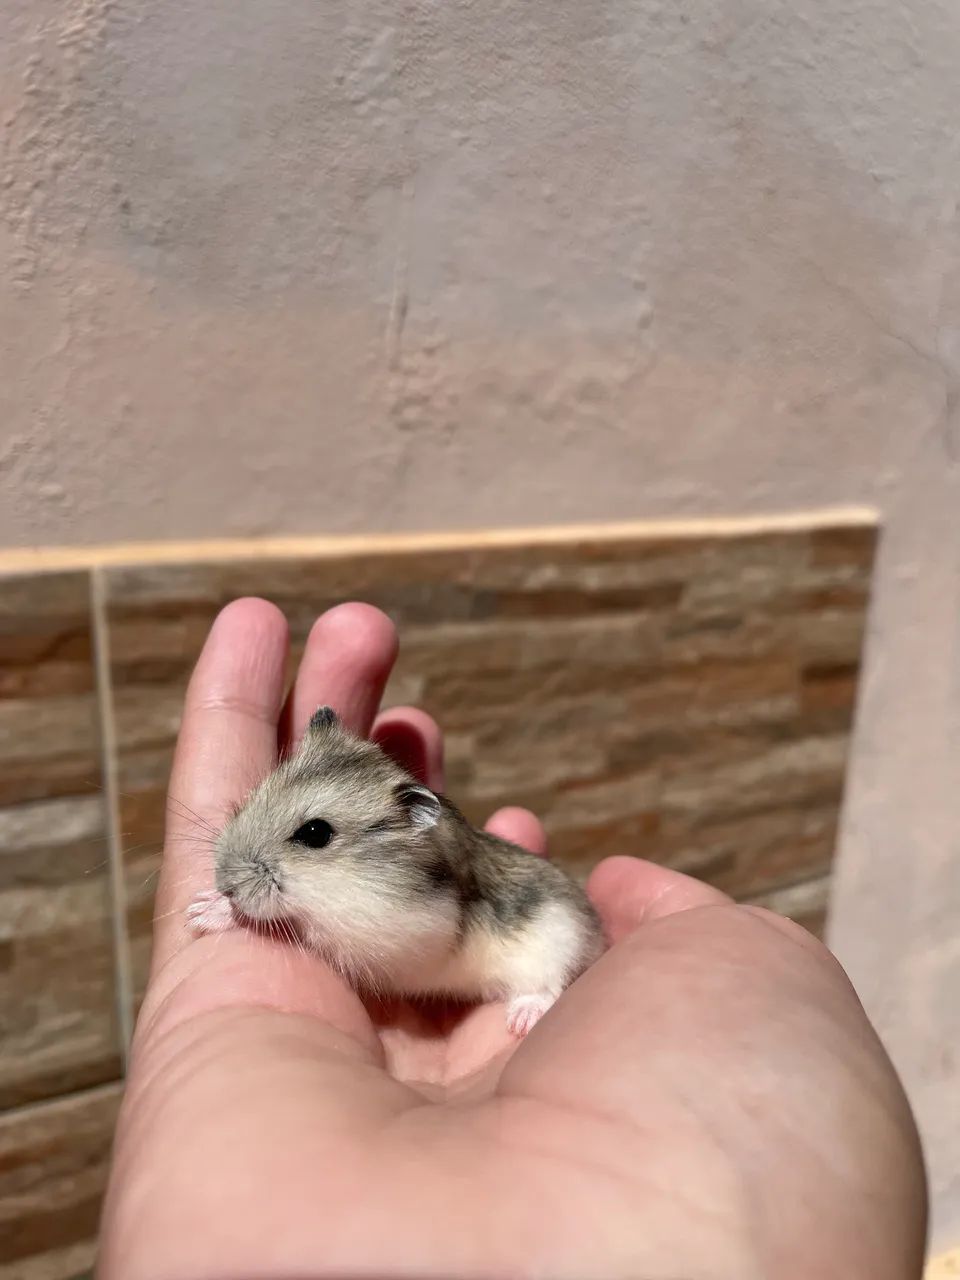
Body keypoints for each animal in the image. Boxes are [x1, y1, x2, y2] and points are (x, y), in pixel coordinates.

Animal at [188, 705, 605, 1036]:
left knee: (547, 984)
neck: (346, 876)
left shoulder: (381, 936)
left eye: (315, 833)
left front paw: (207, 911)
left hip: (558, 938)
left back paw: (521, 1021)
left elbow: (292, 925)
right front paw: (202, 906)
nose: (224, 880)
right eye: (257, 793)